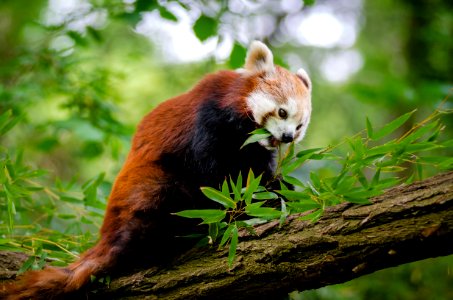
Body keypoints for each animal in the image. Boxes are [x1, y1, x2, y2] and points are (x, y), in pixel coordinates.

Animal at [1, 41, 310, 298]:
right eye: (282, 112)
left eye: (299, 126)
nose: (286, 137)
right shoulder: (209, 122)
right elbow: (215, 176)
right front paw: (245, 208)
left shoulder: (255, 150)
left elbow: (256, 176)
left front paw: (279, 195)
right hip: (150, 188)